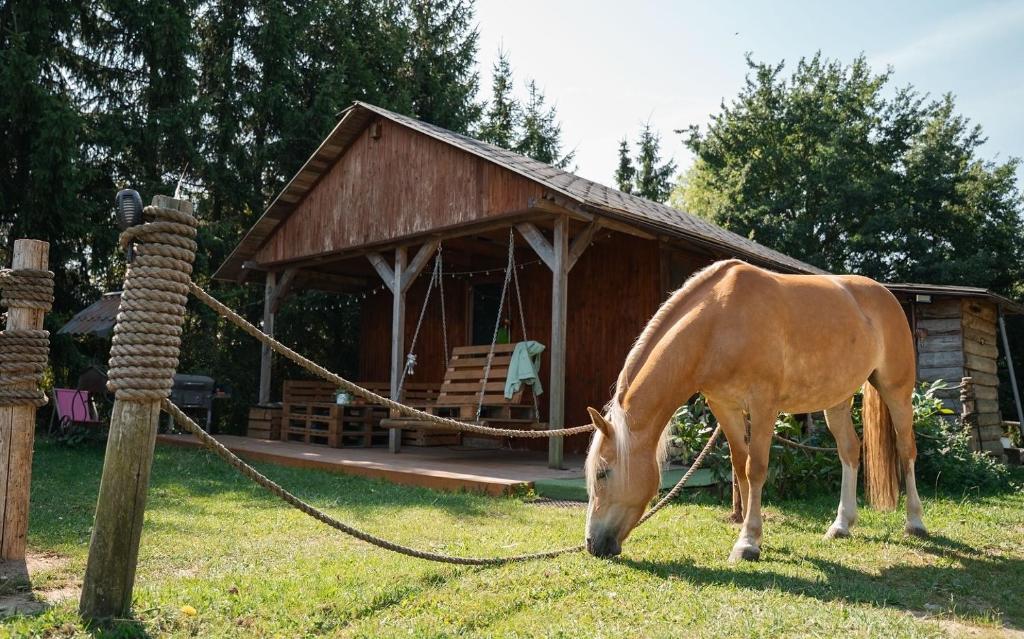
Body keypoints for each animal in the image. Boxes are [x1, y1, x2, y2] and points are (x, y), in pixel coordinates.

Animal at [584, 259, 926, 562]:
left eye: (602, 473)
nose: (592, 544)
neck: (717, 323)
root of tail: (886, 296)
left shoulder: (763, 407)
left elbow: (756, 468)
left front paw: (747, 543)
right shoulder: (725, 407)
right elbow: (740, 466)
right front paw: (754, 536)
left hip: (897, 391)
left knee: (906, 449)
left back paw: (915, 522)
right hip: (837, 401)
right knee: (850, 451)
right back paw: (841, 525)